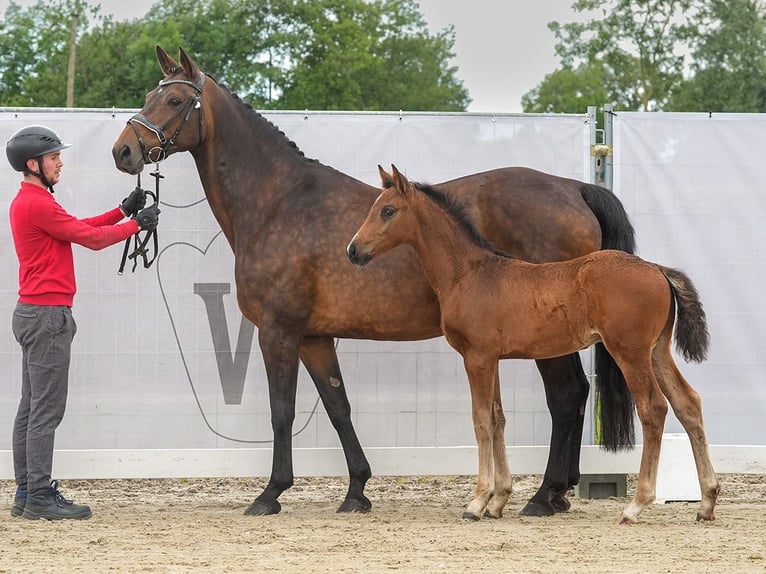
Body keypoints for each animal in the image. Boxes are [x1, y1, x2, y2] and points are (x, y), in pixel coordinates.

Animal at [112, 47, 640, 520]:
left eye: (175, 100)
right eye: (148, 94)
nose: (124, 150)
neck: (279, 202)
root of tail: (575, 189)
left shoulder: (278, 332)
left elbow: (282, 411)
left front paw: (271, 493)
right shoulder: (314, 337)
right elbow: (338, 406)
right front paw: (357, 490)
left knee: (566, 396)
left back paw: (543, 496)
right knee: (572, 396)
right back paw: (557, 493)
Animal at [348, 166, 720, 528]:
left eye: (387, 210)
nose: (353, 250)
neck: (470, 272)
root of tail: (658, 269)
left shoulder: (476, 357)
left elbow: (481, 421)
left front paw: (477, 502)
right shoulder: (491, 358)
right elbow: (497, 418)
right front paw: (498, 500)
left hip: (630, 351)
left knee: (653, 409)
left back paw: (635, 506)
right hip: (658, 351)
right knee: (688, 403)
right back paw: (706, 502)